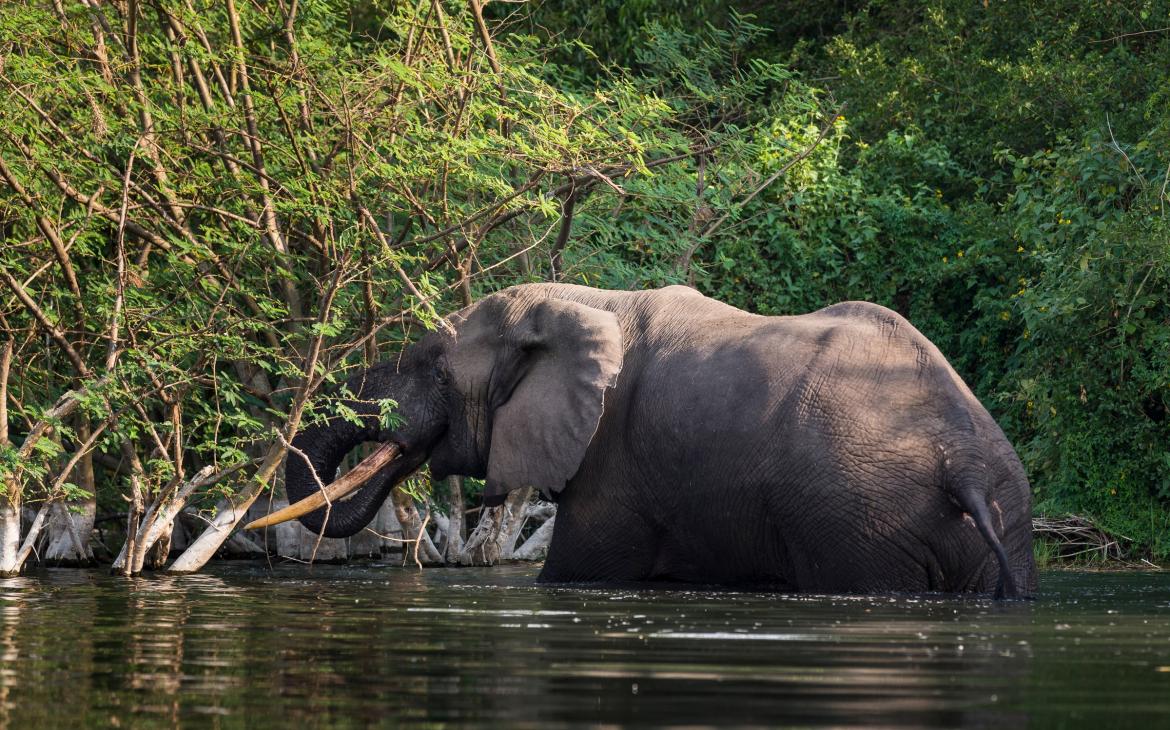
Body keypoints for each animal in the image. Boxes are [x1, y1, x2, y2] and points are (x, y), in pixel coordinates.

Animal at [249, 281, 1034, 596]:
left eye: (428, 366)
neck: (579, 301)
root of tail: (963, 463)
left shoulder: (612, 461)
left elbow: (575, 573)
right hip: (998, 514)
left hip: (858, 515)